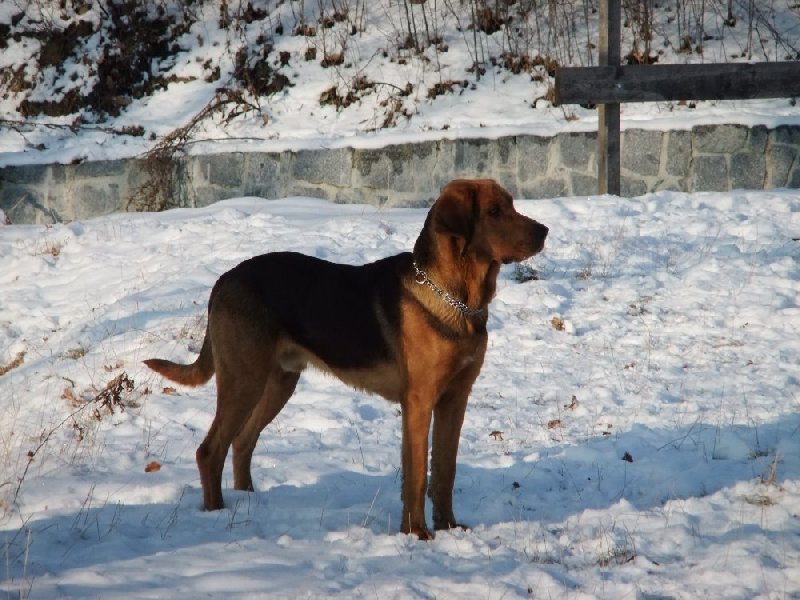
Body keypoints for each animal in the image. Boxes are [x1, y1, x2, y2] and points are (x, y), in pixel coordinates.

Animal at [144, 178, 548, 540]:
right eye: (494, 211)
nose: (544, 231)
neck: (455, 296)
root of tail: (222, 281)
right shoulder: (419, 403)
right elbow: (418, 474)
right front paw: (416, 533)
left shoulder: (455, 400)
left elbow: (445, 471)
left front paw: (448, 527)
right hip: (244, 381)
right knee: (210, 450)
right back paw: (216, 514)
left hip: (278, 382)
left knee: (242, 443)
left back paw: (248, 502)